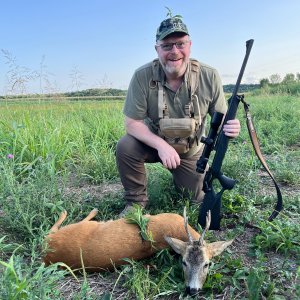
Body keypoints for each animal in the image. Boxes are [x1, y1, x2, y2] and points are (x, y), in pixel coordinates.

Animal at [43, 206, 233, 296]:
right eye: (184, 262)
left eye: (207, 264)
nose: (192, 290)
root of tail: (46, 256)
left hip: (74, 229)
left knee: (50, 230)